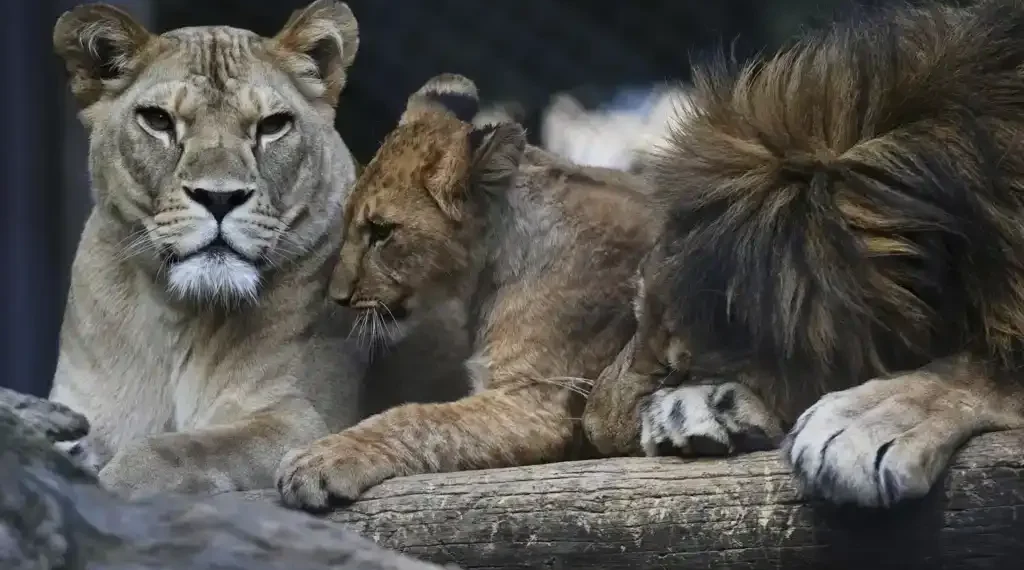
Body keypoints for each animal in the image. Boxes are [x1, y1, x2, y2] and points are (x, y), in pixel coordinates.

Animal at [48, 0, 392, 499]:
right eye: (158, 121)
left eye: (272, 126)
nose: (219, 197)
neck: (179, 314)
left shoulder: (304, 420)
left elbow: (178, 449)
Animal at [583, 0, 1024, 508]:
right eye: (637, 316)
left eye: (676, 370)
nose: (588, 430)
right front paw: (699, 411)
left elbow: (989, 367)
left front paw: (864, 422)